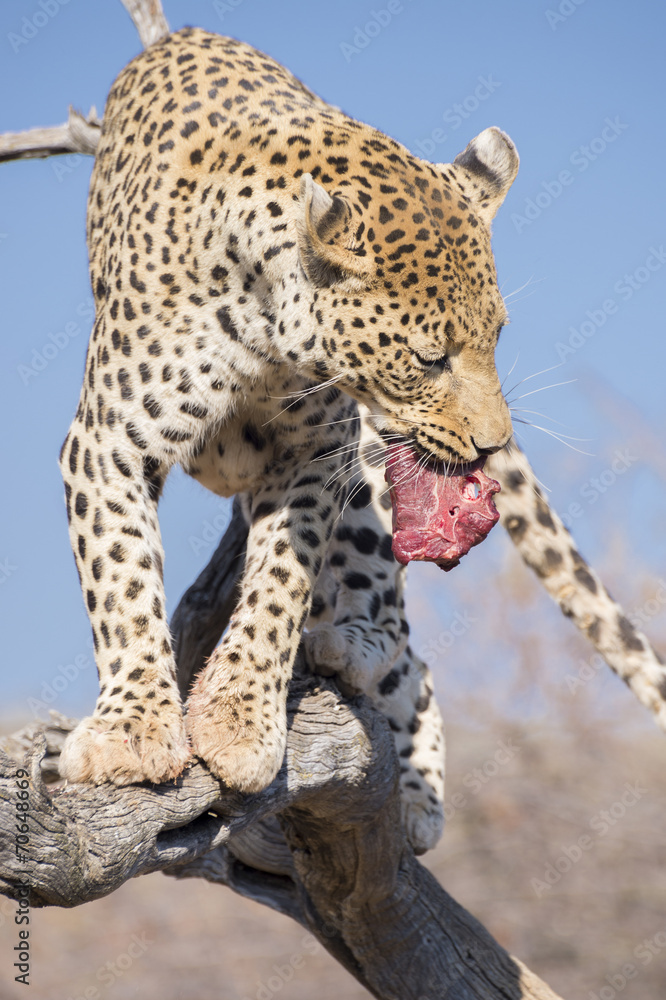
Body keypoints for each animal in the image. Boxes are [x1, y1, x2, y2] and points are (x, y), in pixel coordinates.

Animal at [55, 24, 523, 806]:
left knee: (403, 648)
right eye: (430, 359)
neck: (265, 330)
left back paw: (366, 674)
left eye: (497, 337)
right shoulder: (108, 441)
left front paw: (239, 720)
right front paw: (135, 726)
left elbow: (282, 581)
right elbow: (122, 577)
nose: (493, 446)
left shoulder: (318, 450)